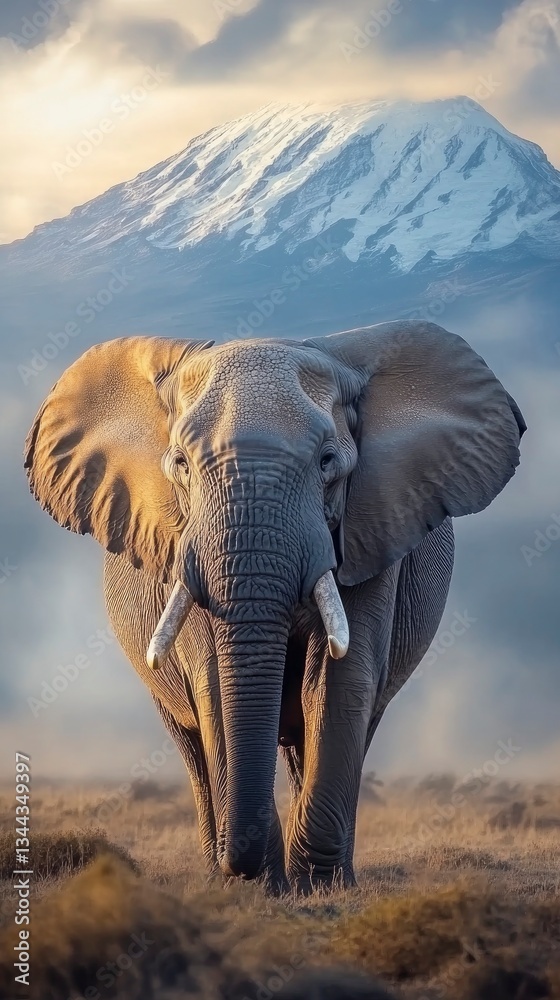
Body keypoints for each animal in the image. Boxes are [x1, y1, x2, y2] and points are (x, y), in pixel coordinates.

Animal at [24, 321, 525, 893]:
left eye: (328, 462)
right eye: (180, 464)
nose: (238, 865)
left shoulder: (372, 524)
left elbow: (340, 680)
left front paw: (318, 887)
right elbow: (215, 684)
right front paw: (260, 885)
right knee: (192, 745)